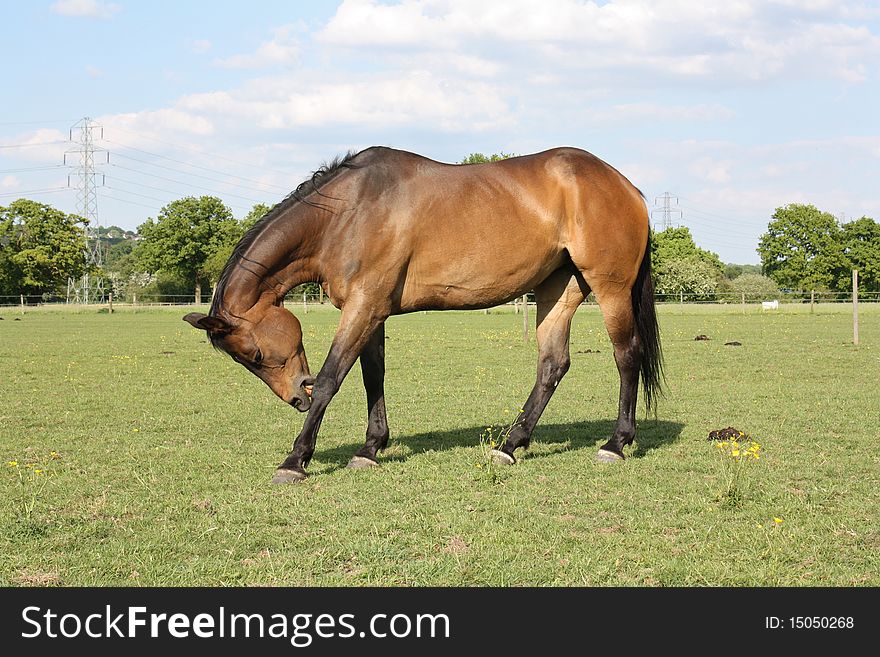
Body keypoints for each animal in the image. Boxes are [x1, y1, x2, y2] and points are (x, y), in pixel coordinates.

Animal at [182, 147, 660, 482]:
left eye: (255, 356)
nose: (297, 396)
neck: (347, 213)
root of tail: (627, 187)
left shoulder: (363, 306)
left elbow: (333, 378)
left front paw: (296, 458)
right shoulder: (371, 310)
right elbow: (372, 376)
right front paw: (370, 449)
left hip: (610, 288)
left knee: (626, 357)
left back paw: (616, 443)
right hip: (557, 291)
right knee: (552, 365)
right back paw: (510, 444)